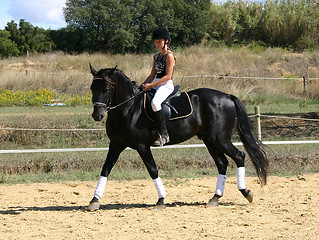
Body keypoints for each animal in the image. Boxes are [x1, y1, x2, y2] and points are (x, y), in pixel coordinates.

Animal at [87, 65, 268, 210]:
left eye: (106, 89)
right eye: (92, 88)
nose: (97, 115)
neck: (129, 108)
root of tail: (227, 96)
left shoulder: (142, 146)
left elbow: (152, 169)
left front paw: (161, 200)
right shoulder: (116, 144)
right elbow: (105, 169)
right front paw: (94, 200)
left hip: (220, 139)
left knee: (239, 156)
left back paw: (245, 192)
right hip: (209, 140)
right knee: (222, 163)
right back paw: (215, 198)